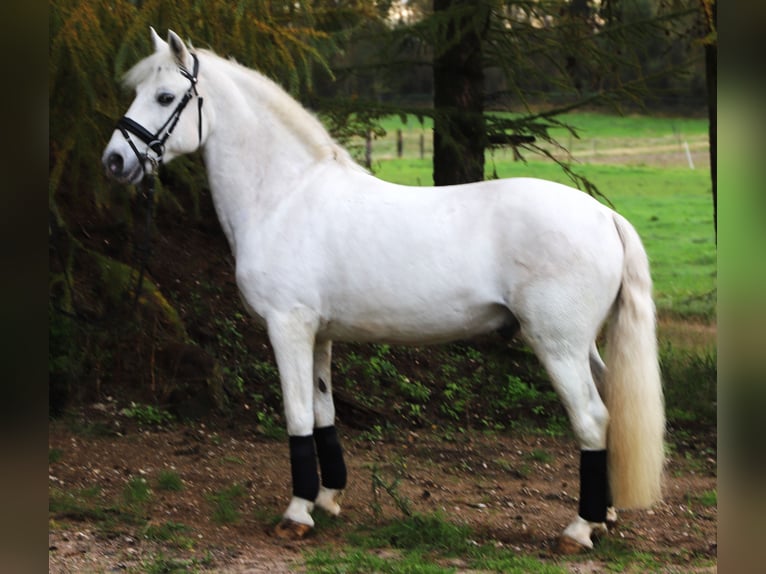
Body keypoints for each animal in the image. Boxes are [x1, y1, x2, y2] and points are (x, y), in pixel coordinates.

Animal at [102, 29, 665, 552]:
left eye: (166, 97)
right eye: (141, 91)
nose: (114, 162)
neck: (286, 195)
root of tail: (605, 215)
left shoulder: (288, 326)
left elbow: (297, 414)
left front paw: (297, 513)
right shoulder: (320, 334)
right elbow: (324, 411)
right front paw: (327, 498)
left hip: (558, 344)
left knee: (591, 419)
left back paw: (579, 529)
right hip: (584, 345)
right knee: (609, 410)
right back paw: (604, 517)